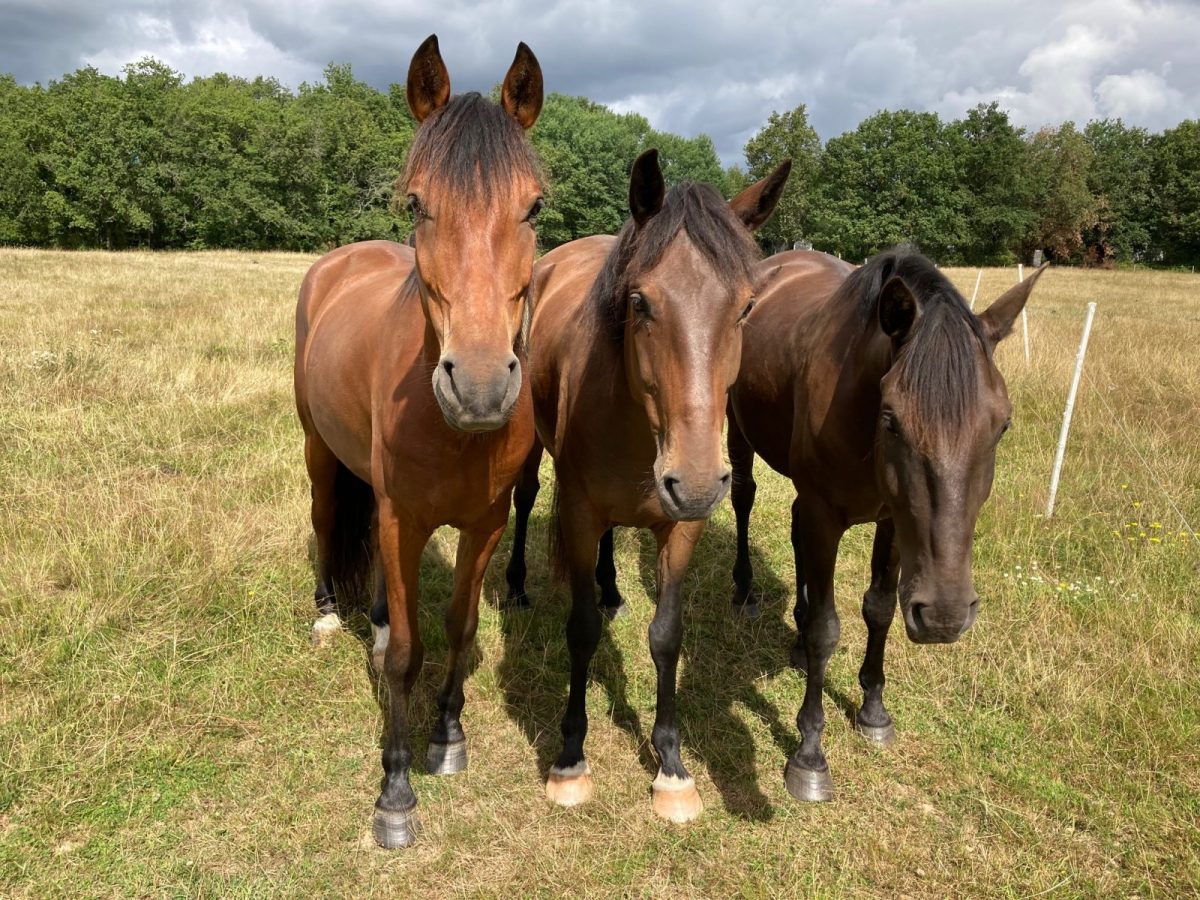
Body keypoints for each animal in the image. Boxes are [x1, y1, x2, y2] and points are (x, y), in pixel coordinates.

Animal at [294, 35, 544, 849]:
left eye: (534, 205)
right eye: (415, 203)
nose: (480, 385)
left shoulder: (485, 523)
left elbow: (460, 629)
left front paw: (448, 736)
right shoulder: (407, 519)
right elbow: (409, 652)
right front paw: (395, 792)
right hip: (317, 451)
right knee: (325, 519)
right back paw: (328, 614)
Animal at [504, 150, 792, 825]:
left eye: (745, 308)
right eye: (639, 302)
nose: (696, 481)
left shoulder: (680, 527)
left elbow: (667, 636)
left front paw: (672, 768)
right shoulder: (578, 513)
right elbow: (582, 630)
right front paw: (570, 760)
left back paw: (612, 588)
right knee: (523, 499)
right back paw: (516, 587)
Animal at [724, 247, 1046, 801]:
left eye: (1002, 425)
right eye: (892, 418)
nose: (945, 616)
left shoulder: (895, 522)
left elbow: (880, 609)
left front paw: (873, 711)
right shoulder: (825, 515)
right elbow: (826, 629)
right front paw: (809, 755)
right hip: (736, 428)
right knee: (744, 498)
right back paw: (745, 591)